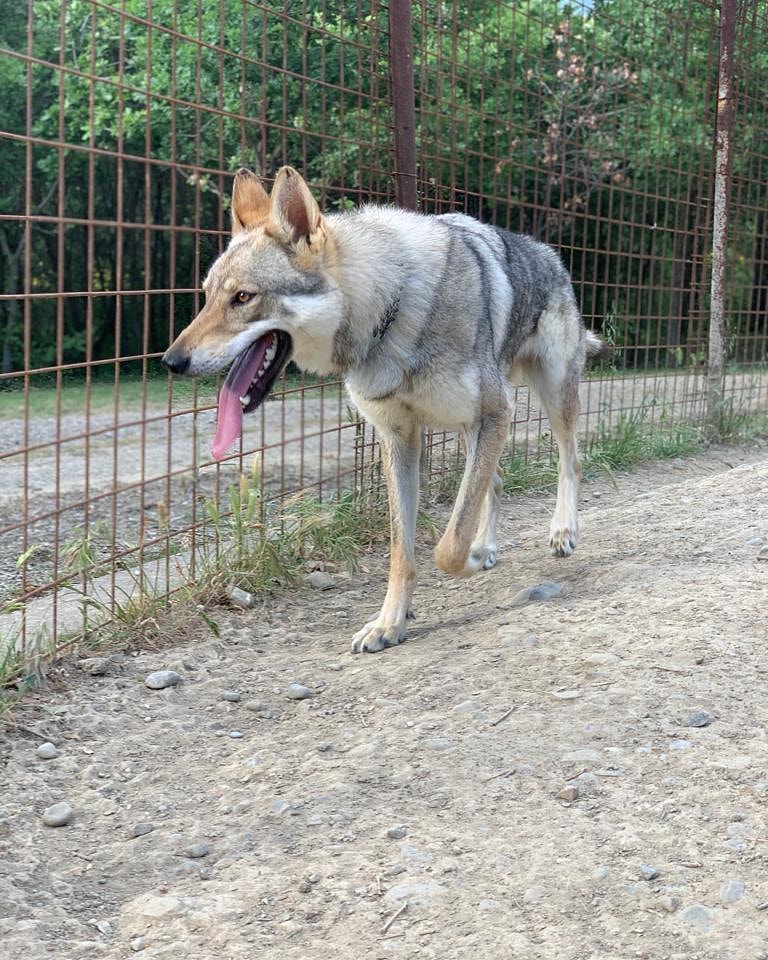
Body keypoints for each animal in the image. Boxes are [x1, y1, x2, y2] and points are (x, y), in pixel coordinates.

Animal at [162, 166, 603, 653]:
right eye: (206, 296)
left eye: (243, 297)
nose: (171, 362)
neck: (389, 314)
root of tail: (550, 255)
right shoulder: (400, 439)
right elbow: (402, 551)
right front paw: (389, 623)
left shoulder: (492, 413)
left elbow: (447, 548)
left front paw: (465, 562)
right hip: (474, 427)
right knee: (497, 480)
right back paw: (487, 547)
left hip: (548, 398)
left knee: (570, 461)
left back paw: (561, 531)